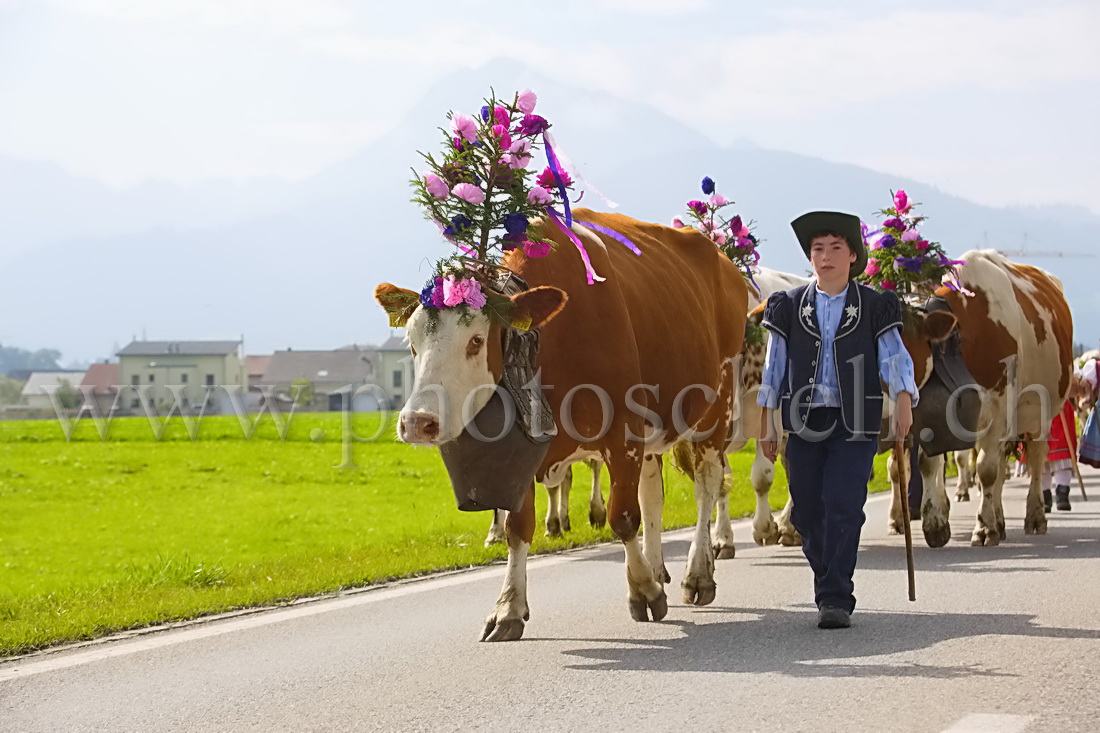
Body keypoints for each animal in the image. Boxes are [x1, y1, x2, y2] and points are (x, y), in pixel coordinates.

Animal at [378, 206, 748, 638]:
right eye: (412, 341)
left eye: (476, 340)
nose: (417, 422)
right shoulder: (523, 449)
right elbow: (517, 528)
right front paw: (508, 608)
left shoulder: (623, 431)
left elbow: (623, 518)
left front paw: (642, 591)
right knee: (653, 494)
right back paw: (659, 568)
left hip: (717, 405)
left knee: (707, 485)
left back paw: (698, 574)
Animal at [888, 249, 1069, 541]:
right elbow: (929, 463)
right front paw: (935, 523)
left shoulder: (999, 410)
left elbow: (986, 471)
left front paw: (984, 527)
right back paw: (1001, 520)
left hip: (1040, 413)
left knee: (1035, 458)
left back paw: (1034, 516)